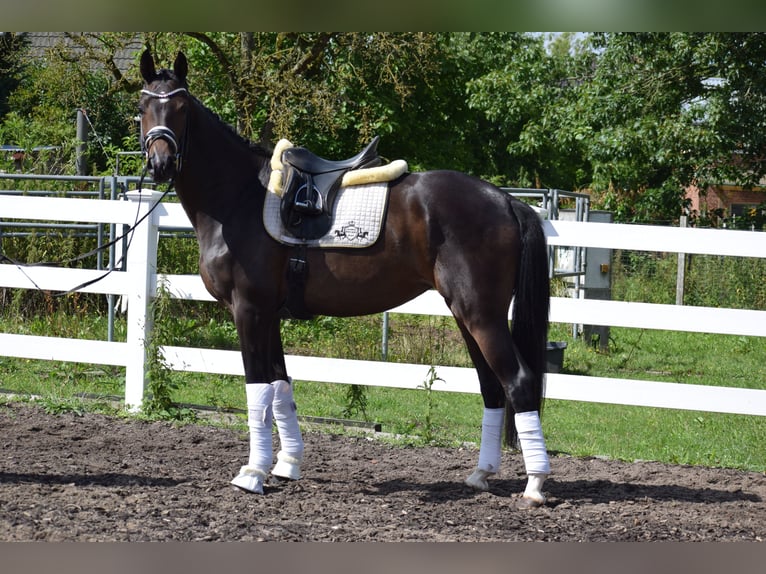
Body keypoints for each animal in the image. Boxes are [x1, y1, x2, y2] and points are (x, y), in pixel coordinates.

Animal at [140, 49, 552, 508]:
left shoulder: (248, 311)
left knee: (519, 382)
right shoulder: (270, 315)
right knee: (492, 386)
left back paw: (535, 485)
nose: (160, 164)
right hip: (468, 317)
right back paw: (481, 474)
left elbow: (258, 390)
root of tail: (507, 201)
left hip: (482, 316)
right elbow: (281, 387)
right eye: (143, 105)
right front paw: (287, 465)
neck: (240, 198)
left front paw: (253, 472)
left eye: (180, 107)